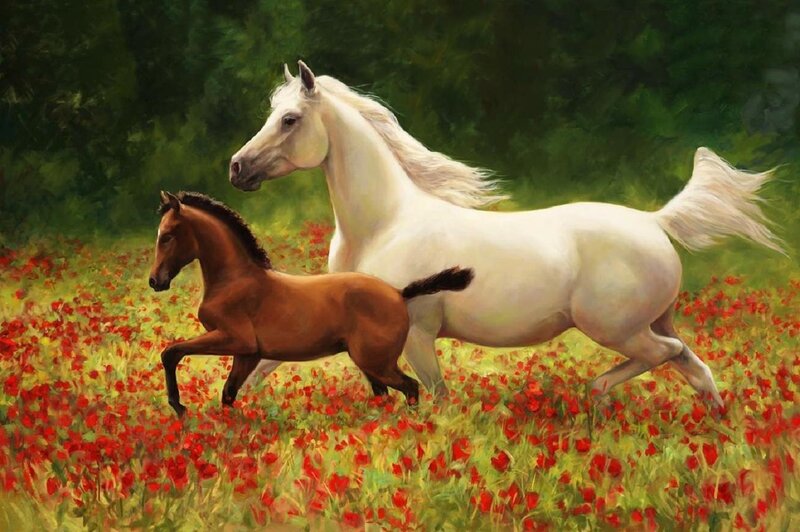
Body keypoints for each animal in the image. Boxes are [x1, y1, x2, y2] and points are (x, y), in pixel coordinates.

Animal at [148, 191, 474, 416]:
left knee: (411, 387)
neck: (235, 279)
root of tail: (398, 292)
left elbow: (171, 352)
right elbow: (228, 394)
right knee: (385, 395)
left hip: (376, 362)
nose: (155, 281)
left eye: (167, 236)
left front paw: (178, 406)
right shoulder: (248, 353)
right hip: (370, 363)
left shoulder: (233, 339)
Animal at [229, 61, 784, 408]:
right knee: (696, 367)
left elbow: (437, 398)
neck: (384, 226)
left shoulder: (419, 334)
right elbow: (264, 365)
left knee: (666, 357)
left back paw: (596, 390)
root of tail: (654, 222)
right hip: (653, 322)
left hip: (617, 328)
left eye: (289, 119)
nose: (237, 168)